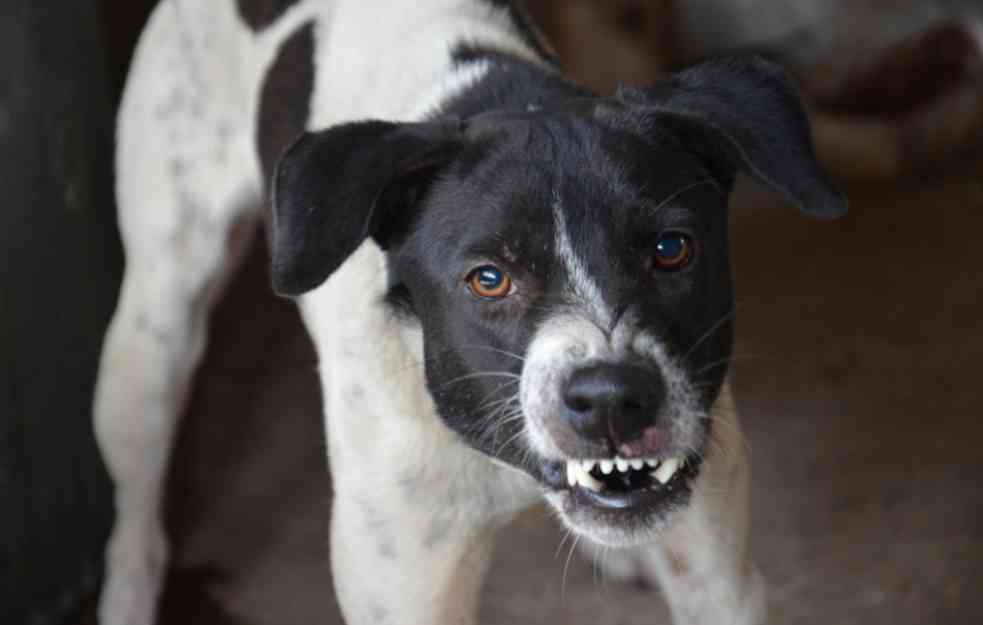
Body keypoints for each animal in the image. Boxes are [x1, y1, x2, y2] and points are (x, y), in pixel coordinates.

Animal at [92, 1, 844, 624]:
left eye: (670, 249)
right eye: (488, 279)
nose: (611, 399)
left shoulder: (717, 576)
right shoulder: (407, 587)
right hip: (152, 337)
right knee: (136, 523)